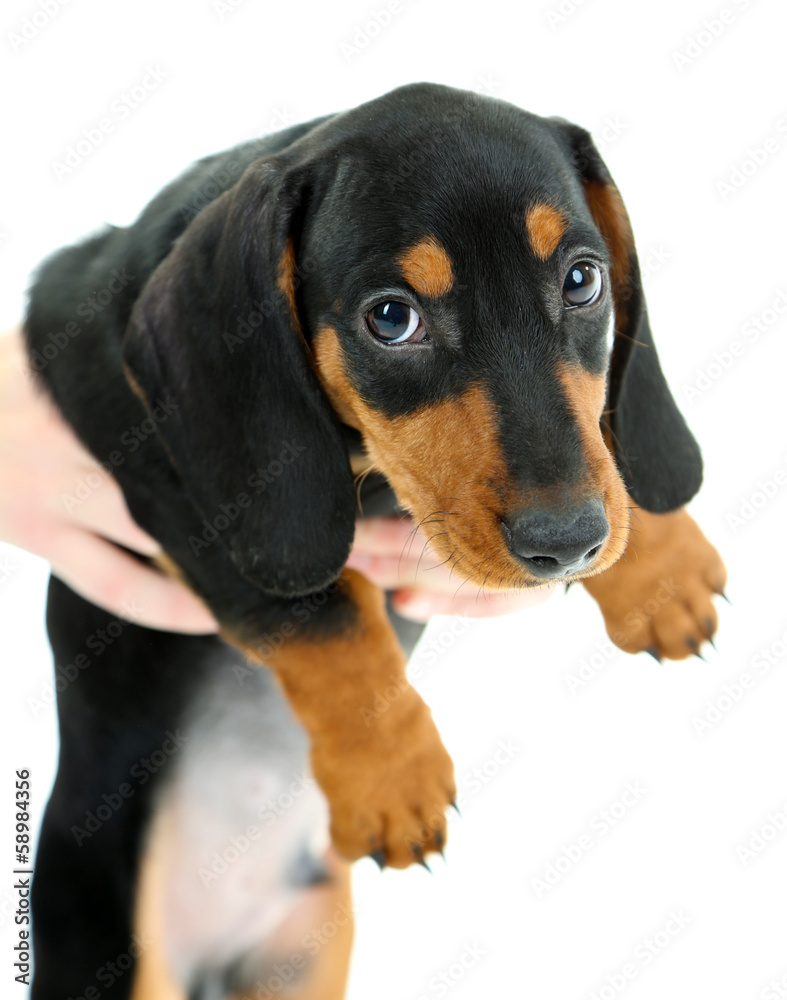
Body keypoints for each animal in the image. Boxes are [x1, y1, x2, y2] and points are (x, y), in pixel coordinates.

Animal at [24, 82, 728, 996]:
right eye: (391, 319)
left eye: (581, 279)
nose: (567, 543)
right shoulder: (175, 497)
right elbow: (327, 616)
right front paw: (393, 773)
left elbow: (603, 437)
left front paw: (660, 569)